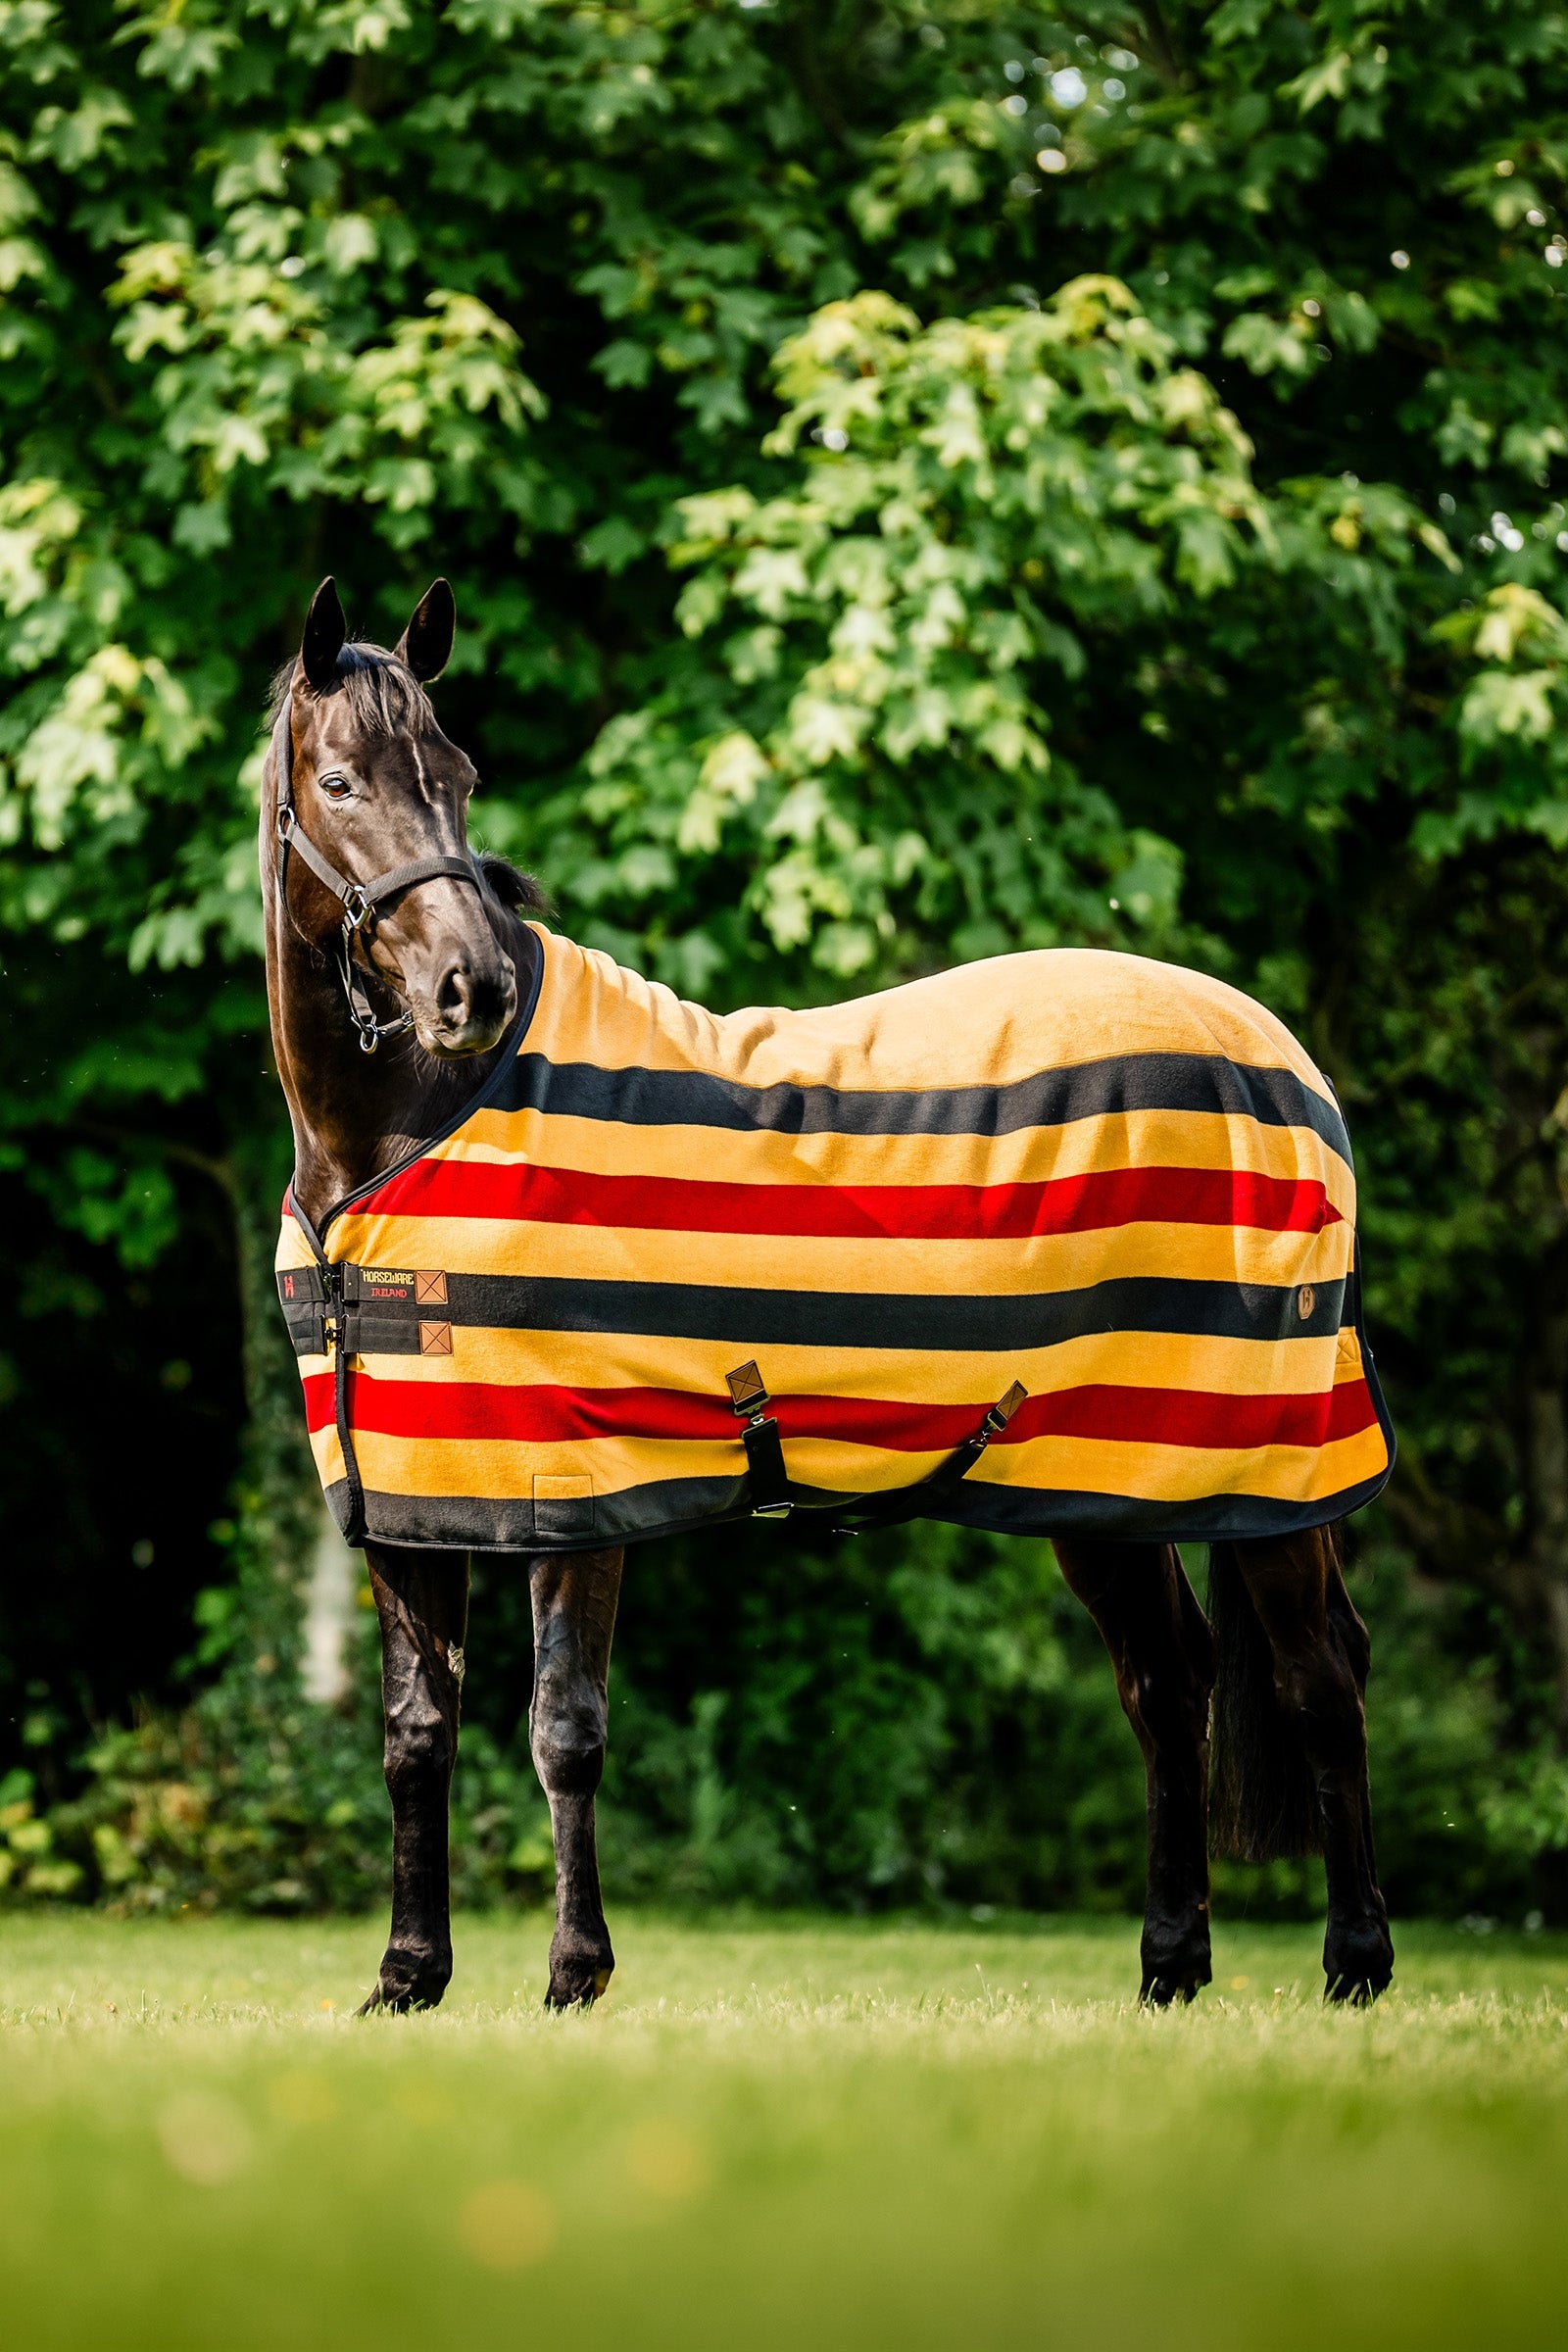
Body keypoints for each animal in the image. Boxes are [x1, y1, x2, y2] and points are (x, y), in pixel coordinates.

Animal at [262, 576, 1395, 2014]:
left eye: (458, 776)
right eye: (339, 780)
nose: (475, 988)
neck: (406, 1130)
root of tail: (1279, 1061)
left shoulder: (574, 1487)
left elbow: (564, 1730)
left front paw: (575, 1976)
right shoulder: (417, 1497)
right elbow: (418, 1736)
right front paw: (408, 1980)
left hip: (1267, 1458)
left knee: (1317, 1676)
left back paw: (1355, 1965)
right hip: (1104, 1472)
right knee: (1166, 1679)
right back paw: (1169, 1969)